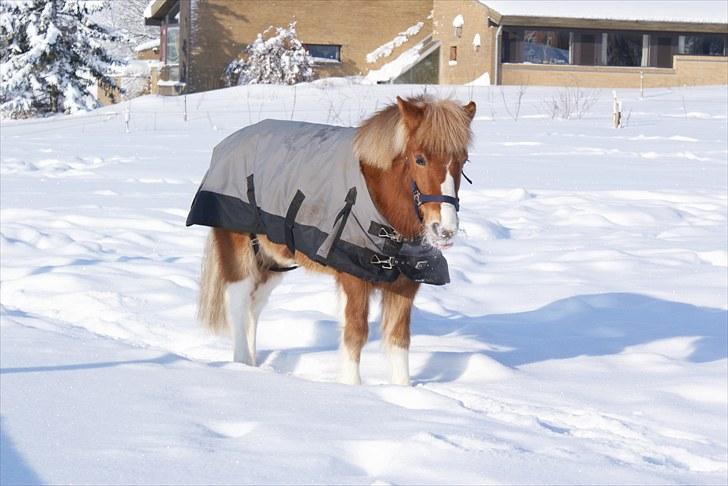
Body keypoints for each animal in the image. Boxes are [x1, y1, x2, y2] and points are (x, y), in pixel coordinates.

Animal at [196, 94, 474, 384]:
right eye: (420, 159)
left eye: (463, 160)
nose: (445, 229)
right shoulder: (353, 281)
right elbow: (355, 334)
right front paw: (351, 387)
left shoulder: (405, 286)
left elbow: (398, 341)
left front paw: (401, 390)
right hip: (238, 250)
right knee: (238, 302)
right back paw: (241, 364)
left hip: (272, 260)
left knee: (255, 305)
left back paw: (252, 365)